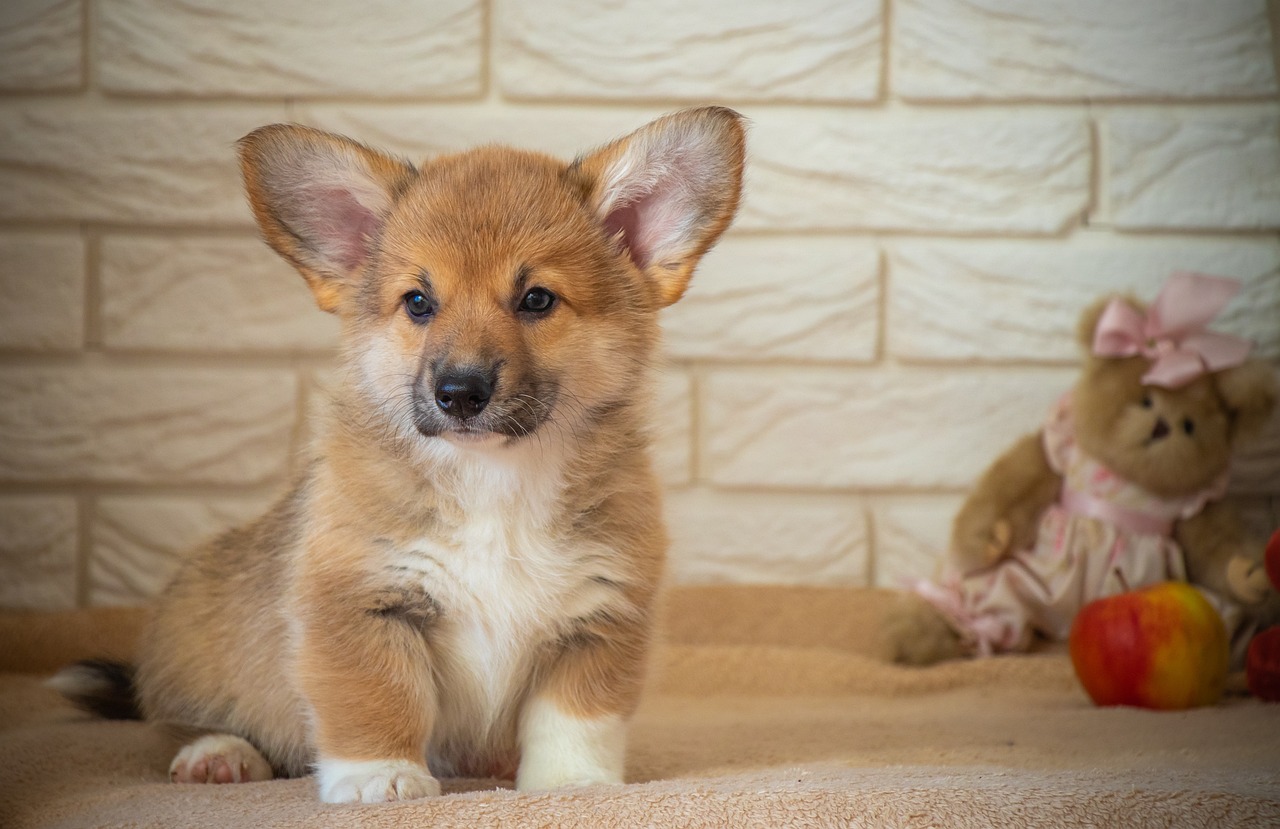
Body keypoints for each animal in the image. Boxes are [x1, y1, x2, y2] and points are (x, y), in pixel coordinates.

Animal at [55, 106, 747, 798]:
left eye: (537, 299)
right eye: (418, 302)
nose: (459, 393)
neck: (495, 476)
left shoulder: (600, 616)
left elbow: (574, 718)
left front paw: (571, 785)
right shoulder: (359, 603)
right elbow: (377, 699)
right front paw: (380, 779)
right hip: (197, 643)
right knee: (177, 721)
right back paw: (219, 754)